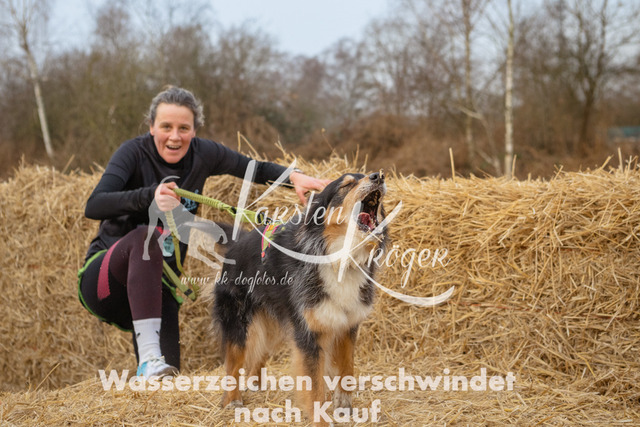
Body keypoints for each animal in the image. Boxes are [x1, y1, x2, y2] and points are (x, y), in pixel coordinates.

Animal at [213, 171, 388, 424]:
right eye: (345, 186)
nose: (378, 176)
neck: (339, 258)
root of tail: (236, 245)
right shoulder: (308, 332)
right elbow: (314, 387)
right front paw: (321, 421)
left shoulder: (347, 325)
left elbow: (347, 368)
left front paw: (344, 407)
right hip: (238, 320)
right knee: (233, 361)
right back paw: (232, 400)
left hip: (273, 323)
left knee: (259, 354)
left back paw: (256, 384)